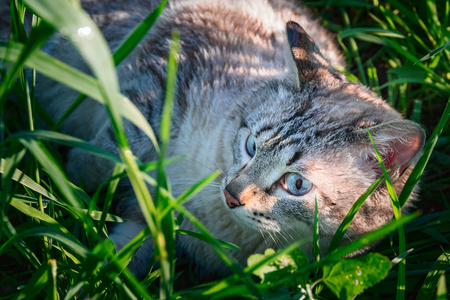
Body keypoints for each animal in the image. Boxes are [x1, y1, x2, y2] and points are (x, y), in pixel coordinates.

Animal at [30, 0, 426, 278]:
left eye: (297, 185)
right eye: (251, 146)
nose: (232, 194)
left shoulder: (152, 221)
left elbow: (125, 257)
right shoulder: (160, 75)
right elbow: (109, 151)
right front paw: (68, 182)